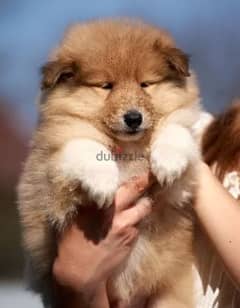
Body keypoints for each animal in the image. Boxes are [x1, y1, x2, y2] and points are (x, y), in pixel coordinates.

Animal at [18, 19, 202, 308]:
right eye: (106, 86)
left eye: (145, 84)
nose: (134, 118)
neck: (129, 147)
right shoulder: (50, 173)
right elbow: (83, 144)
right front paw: (104, 185)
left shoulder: (176, 191)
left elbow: (176, 129)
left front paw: (169, 162)